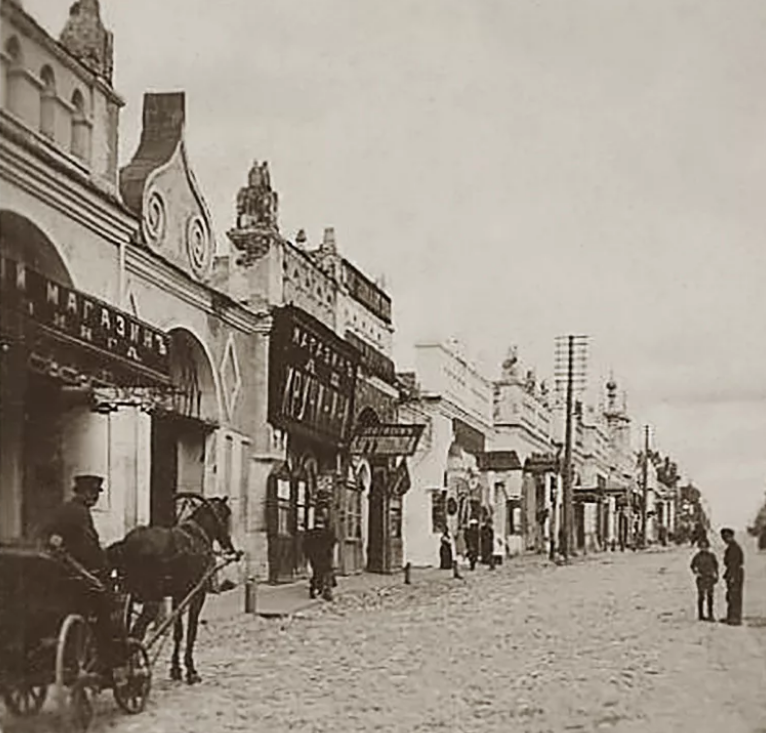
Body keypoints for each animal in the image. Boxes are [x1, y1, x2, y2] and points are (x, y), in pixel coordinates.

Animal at [106, 494, 237, 684]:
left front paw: (176, 669)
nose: (229, 547)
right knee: (136, 634)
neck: (198, 535)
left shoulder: (178, 596)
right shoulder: (197, 595)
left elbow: (178, 632)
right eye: (226, 515)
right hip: (150, 601)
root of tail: (126, 544)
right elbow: (191, 632)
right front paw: (191, 670)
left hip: (126, 597)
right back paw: (136, 671)